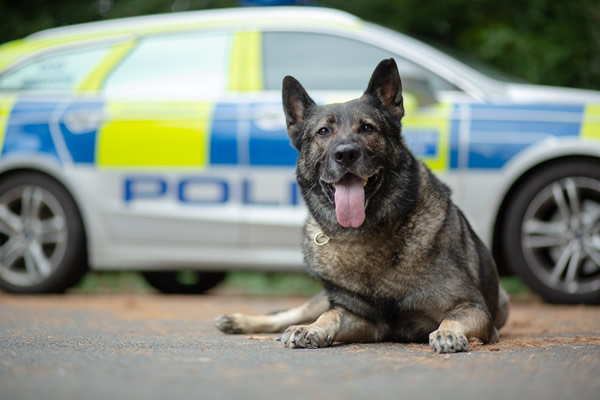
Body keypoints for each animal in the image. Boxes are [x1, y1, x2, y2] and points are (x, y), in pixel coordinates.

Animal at [213, 58, 508, 354]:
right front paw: (310, 329)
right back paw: (241, 321)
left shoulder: (473, 308)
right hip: (322, 297)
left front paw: (447, 333)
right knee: (290, 313)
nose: (345, 154)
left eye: (368, 128)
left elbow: (450, 319)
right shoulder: (359, 316)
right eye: (323, 132)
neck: (362, 234)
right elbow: (330, 315)